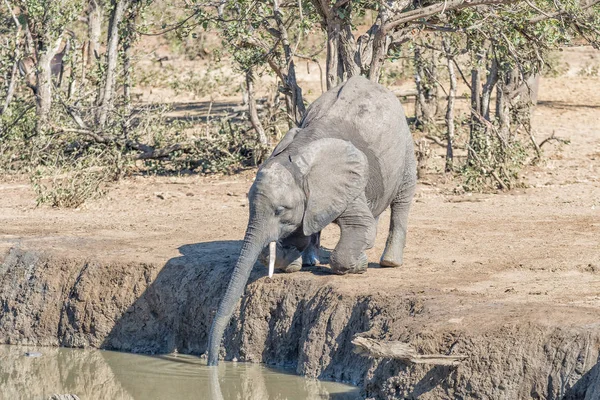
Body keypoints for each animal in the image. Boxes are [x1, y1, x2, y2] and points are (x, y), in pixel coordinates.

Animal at [206, 75, 418, 366]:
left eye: (280, 210)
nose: (211, 363)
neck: (296, 160)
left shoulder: (348, 183)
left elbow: (360, 227)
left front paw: (360, 265)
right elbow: (297, 233)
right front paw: (292, 262)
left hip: (405, 149)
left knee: (402, 199)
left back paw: (389, 262)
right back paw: (310, 261)